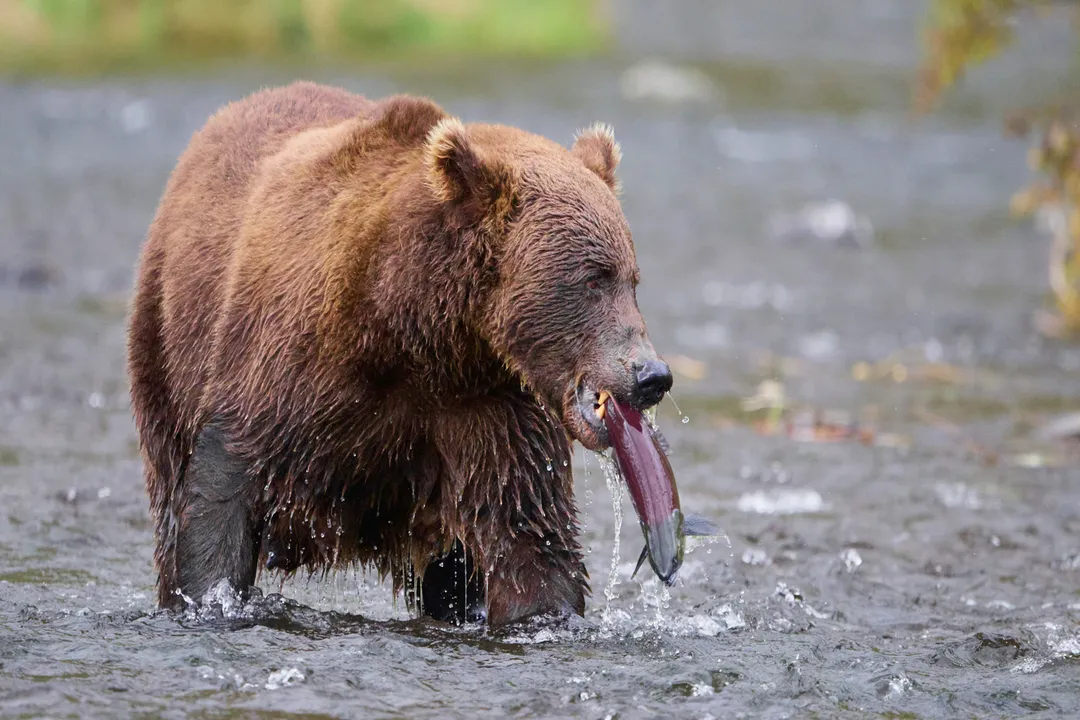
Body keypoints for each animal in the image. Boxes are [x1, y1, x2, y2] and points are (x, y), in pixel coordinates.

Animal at [126, 81, 673, 627]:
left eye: (632, 279)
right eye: (593, 279)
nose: (653, 375)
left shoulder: (489, 411)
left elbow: (527, 532)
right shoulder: (288, 370)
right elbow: (223, 490)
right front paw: (209, 597)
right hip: (166, 345)